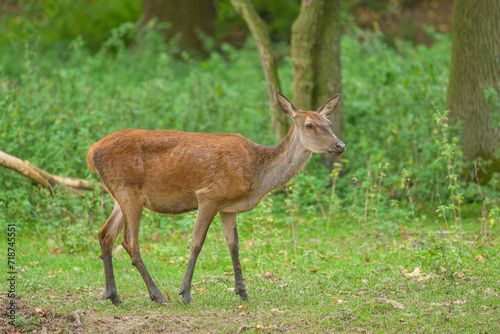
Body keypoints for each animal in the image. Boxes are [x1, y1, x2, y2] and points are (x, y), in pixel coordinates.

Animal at [87, 91, 344, 306]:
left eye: (329, 124)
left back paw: (114, 296)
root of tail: (91, 152)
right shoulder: (209, 196)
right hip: (129, 191)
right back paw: (157, 295)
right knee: (129, 241)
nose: (340, 145)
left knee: (105, 234)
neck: (256, 176)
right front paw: (185, 294)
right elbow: (196, 244)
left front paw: (243, 293)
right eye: (309, 125)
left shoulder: (228, 207)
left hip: (119, 196)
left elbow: (234, 246)